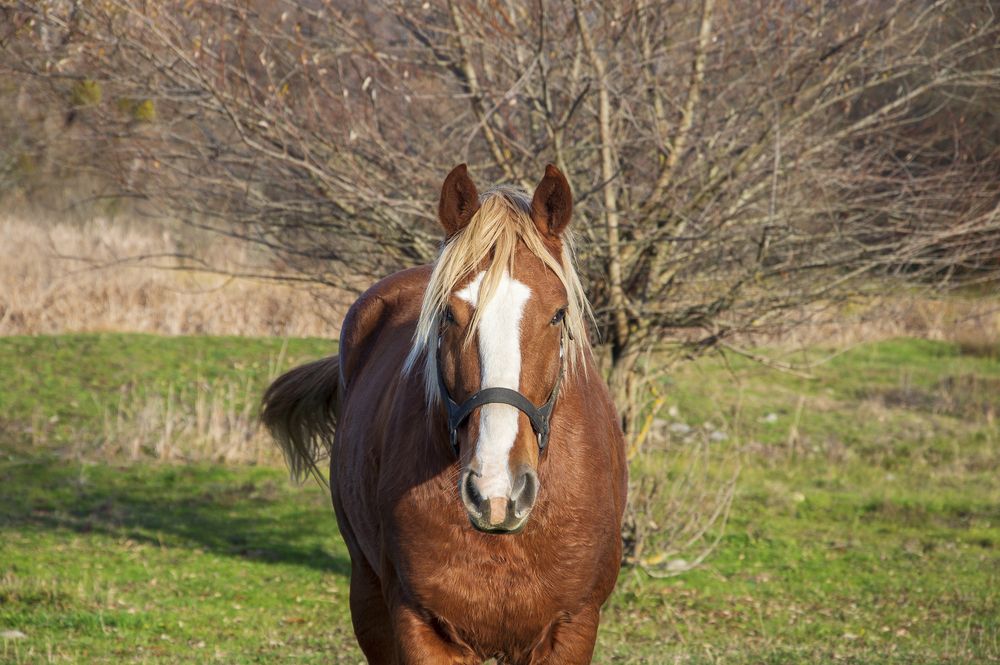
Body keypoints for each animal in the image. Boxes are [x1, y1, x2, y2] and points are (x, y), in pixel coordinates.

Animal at [262, 164, 627, 664]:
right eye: (449, 315)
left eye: (557, 314)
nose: (497, 489)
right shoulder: (422, 628)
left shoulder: (572, 628)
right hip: (367, 596)